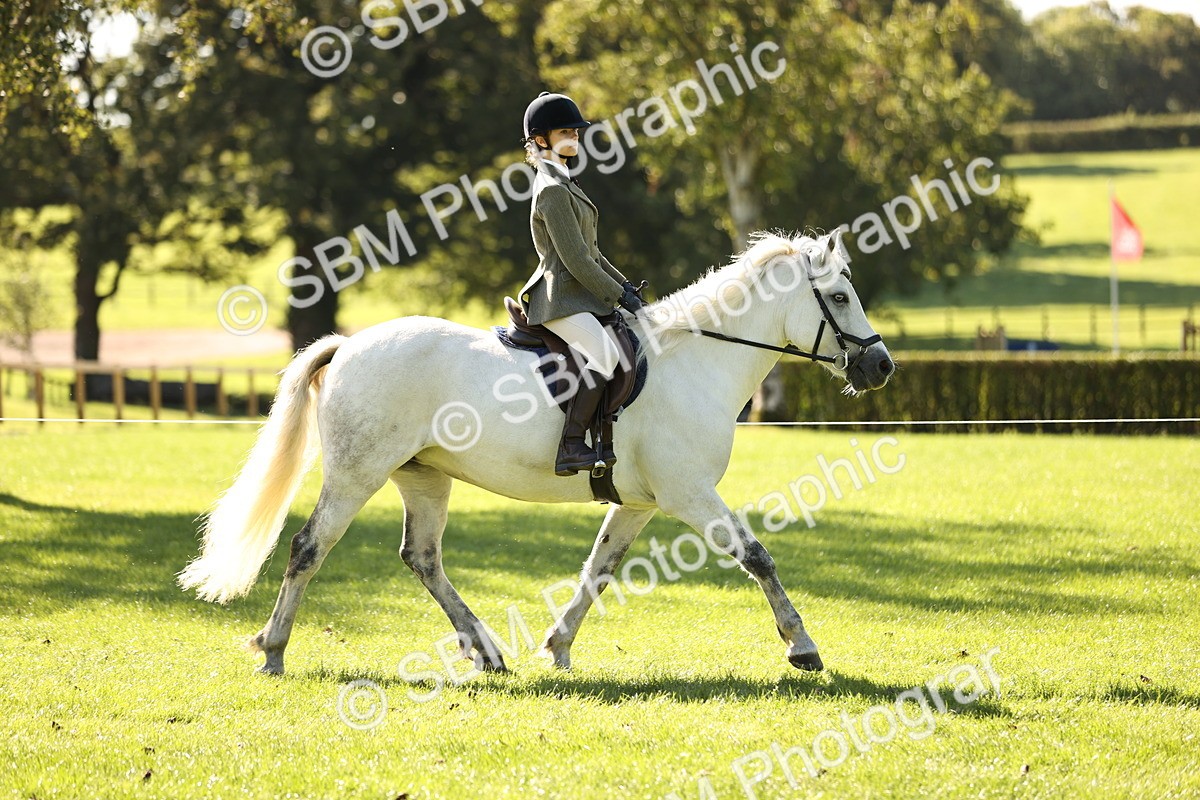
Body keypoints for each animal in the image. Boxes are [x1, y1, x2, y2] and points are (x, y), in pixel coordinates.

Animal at [178, 230, 894, 676]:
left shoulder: (640, 502)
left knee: (422, 557)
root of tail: (349, 344)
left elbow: (598, 570)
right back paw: (273, 649)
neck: (695, 359)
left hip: (423, 477)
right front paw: (802, 647)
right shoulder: (690, 494)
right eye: (838, 296)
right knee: (309, 548)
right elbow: (757, 557)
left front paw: (558, 646)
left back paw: (488, 652)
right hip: (359, 474)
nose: (881, 366)